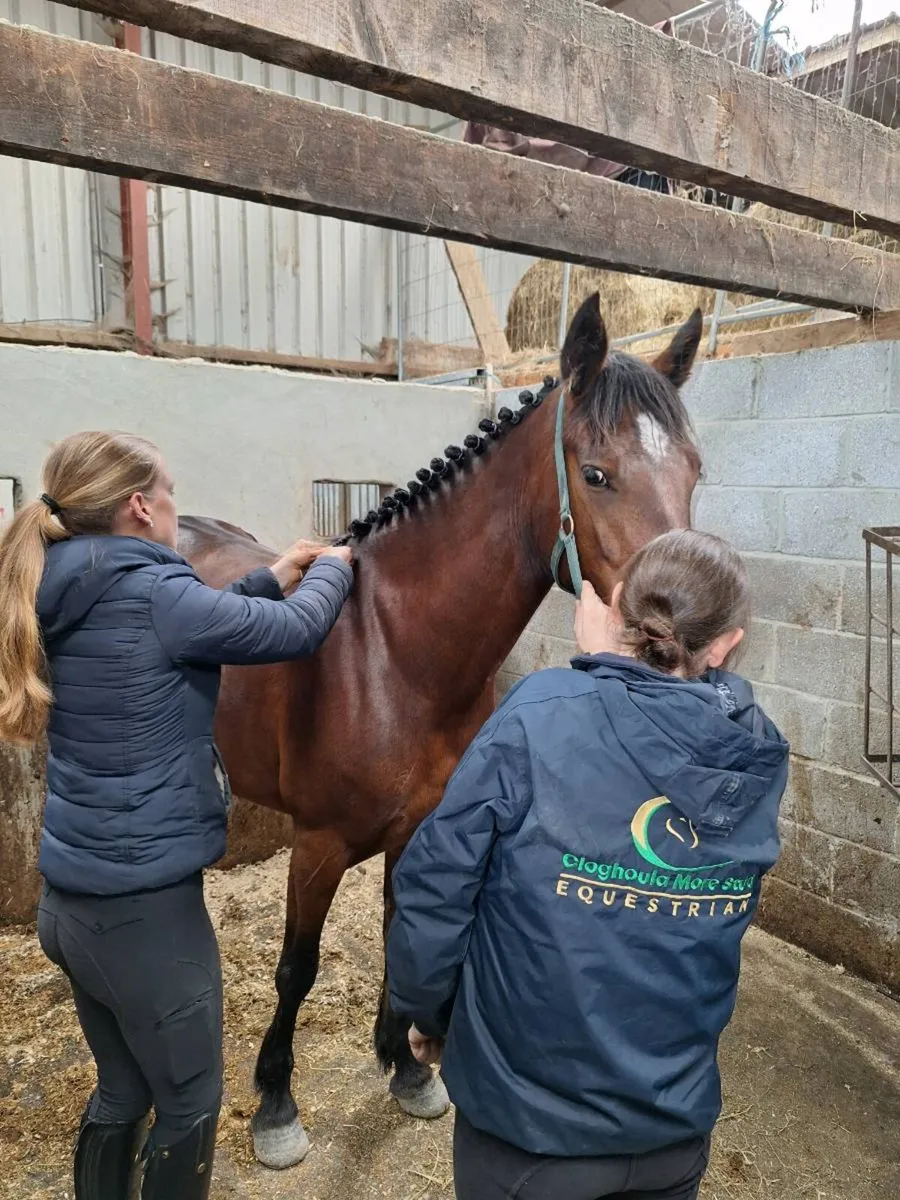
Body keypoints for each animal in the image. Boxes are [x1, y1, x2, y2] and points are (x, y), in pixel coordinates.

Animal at [178, 294, 704, 1169]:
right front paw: (277, 1105)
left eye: (695, 470)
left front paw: (406, 1066)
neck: (396, 654)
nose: (689, 645)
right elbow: (296, 969)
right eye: (597, 473)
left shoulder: (421, 825)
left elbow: (404, 930)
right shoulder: (317, 844)